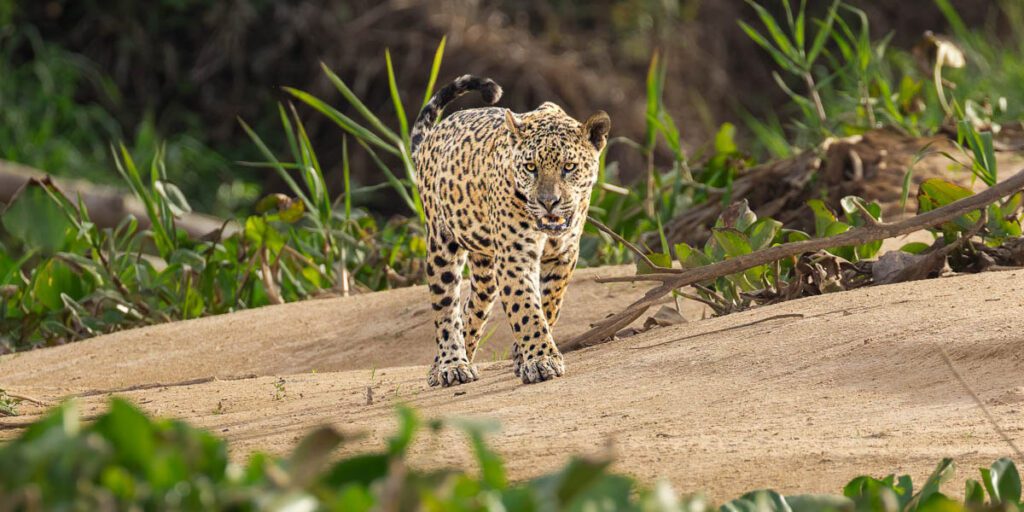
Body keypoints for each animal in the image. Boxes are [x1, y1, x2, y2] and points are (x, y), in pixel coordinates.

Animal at [410, 74, 610, 386]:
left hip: (486, 268)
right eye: (530, 167)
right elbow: (525, 308)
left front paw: (525, 355)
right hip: (441, 245)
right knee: (446, 310)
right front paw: (541, 360)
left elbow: (549, 304)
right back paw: (451, 365)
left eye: (569, 166)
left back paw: (451, 361)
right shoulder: (515, 257)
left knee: (472, 308)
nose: (549, 202)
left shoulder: (564, 255)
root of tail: (432, 137)